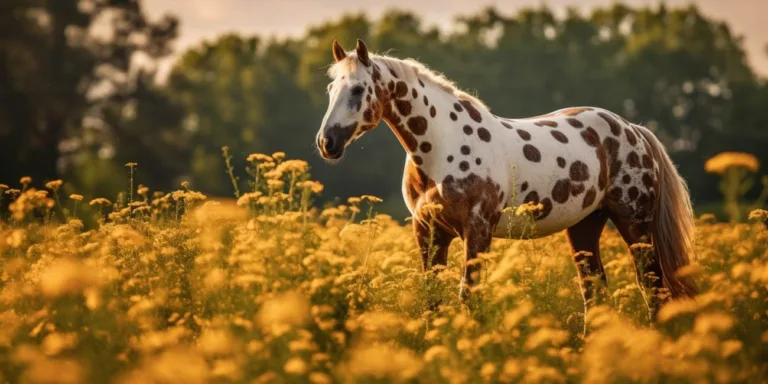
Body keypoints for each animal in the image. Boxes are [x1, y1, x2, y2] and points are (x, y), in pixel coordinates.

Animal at [316, 38, 700, 320]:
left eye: (358, 90)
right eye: (331, 89)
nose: (327, 142)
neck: (441, 148)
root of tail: (633, 129)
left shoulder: (478, 230)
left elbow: (468, 296)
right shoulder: (428, 232)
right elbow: (432, 298)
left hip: (634, 224)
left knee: (652, 287)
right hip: (585, 227)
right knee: (593, 289)